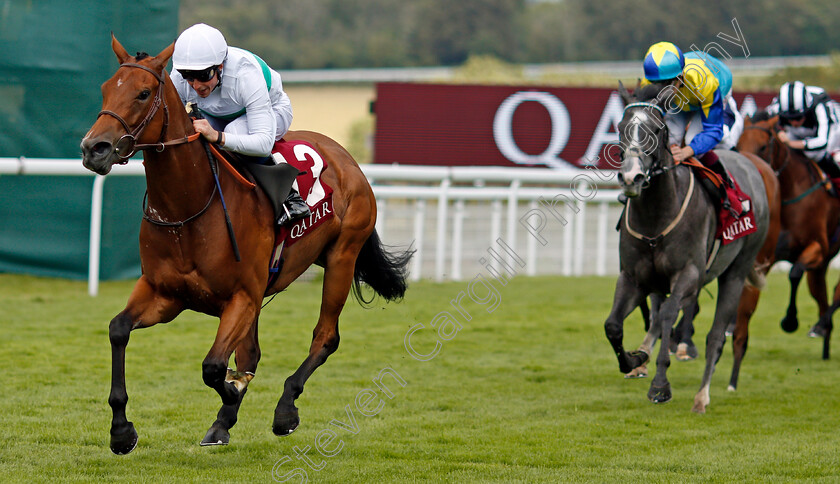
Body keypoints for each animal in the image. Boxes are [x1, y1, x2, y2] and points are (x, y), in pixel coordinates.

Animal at [79, 36, 414, 454]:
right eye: (106, 88)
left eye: (143, 93)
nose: (94, 148)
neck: (187, 209)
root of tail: (347, 159)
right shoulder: (165, 294)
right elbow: (118, 329)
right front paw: (122, 431)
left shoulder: (240, 297)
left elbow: (214, 368)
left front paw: (235, 389)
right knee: (252, 351)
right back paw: (223, 423)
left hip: (342, 256)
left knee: (325, 337)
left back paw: (285, 410)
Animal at [604, 82, 776, 412]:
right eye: (620, 127)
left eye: (657, 129)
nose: (631, 177)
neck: (656, 218)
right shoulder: (632, 277)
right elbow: (614, 325)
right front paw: (635, 358)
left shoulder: (689, 274)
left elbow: (669, 315)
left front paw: (660, 385)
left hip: (736, 271)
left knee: (715, 337)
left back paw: (701, 396)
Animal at [740, 113, 836, 360]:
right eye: (737, 145)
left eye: (763, 147)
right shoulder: (769, 254)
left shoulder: (818, 246)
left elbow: (794, 273)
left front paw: (790, 321)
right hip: (820, 270)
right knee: (821, 296)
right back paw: (824, 337)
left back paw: (820, 327)